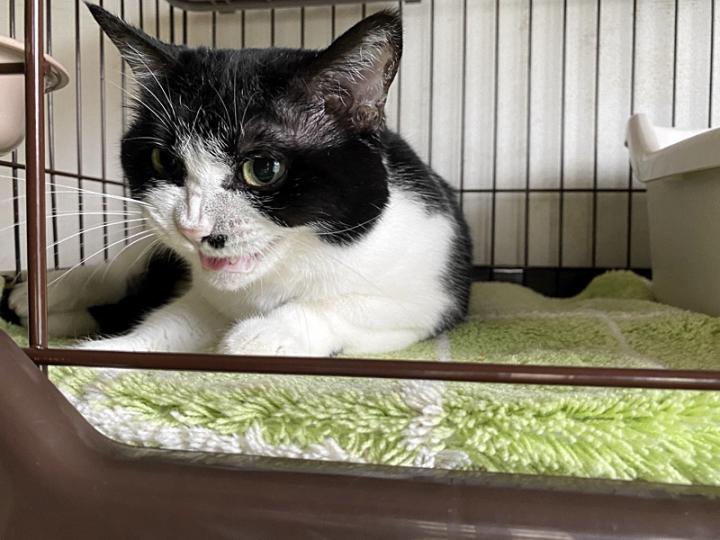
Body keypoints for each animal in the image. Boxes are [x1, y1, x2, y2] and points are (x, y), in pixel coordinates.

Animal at [7, 3, 472, 357]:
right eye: (164, 160)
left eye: (263, 169)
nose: (192, 228)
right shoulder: (206, 292)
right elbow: (166, 322)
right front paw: (105, 354)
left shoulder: (431, 291)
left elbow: (359, 306)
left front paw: (266, 333)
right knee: (126, 270)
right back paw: (42, 290)